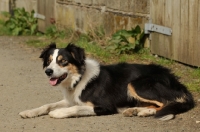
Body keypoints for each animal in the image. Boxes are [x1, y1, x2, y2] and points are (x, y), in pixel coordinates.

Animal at [18, 43, 194, 120]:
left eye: (63, 61)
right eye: (48, 61)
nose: (48, 71)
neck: (79, 78)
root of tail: (176, 80)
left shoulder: (105, 106)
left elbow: (76, 108)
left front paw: (58, 113)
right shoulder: (70, 99)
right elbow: (47, 105)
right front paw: (30, 112)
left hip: (137, 84)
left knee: (167, 102)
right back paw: (136, 110)